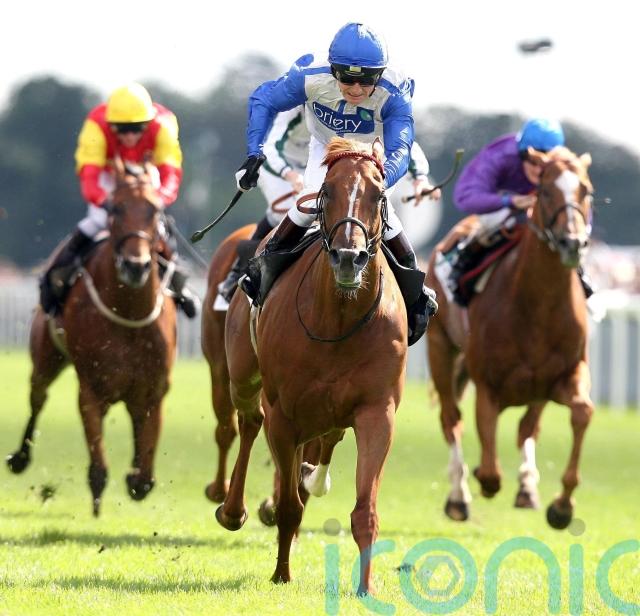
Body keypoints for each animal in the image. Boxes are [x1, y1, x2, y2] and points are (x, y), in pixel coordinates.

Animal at [7, 158, 177, 516]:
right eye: (114, 207)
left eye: (154, 209)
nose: (136, 265)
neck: (129, 316)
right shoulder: (91, 390)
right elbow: (99, 466)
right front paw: (98, 502)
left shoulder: (154, 391)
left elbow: (145, 477)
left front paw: (135, 476)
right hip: (45, 358)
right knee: (37, 397)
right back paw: (20, 458)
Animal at [216, 137, 407, 594]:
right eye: (326, 193)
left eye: (378, 195)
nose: (349, 258)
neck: (338, 319)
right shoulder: (283, 413)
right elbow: (288, 505)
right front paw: (281, 574)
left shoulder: (378, 411)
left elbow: (364, 510)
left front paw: (366, 587)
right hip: (244, 378)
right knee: (249, 420)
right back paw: (233, 510)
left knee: (324, 440)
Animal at [426, 146, 595, 529]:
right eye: (545, 191)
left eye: (586, 190)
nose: (573, 243)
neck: (538, 306)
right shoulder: (488, 385)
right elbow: (489, 468)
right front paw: (480, 480)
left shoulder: (566, 375)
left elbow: (582, 412)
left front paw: (562, 506)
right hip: (440, 348)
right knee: (450, 420)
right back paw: (458, 497)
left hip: (537, 391)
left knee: (527, 428)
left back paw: (527, 488)